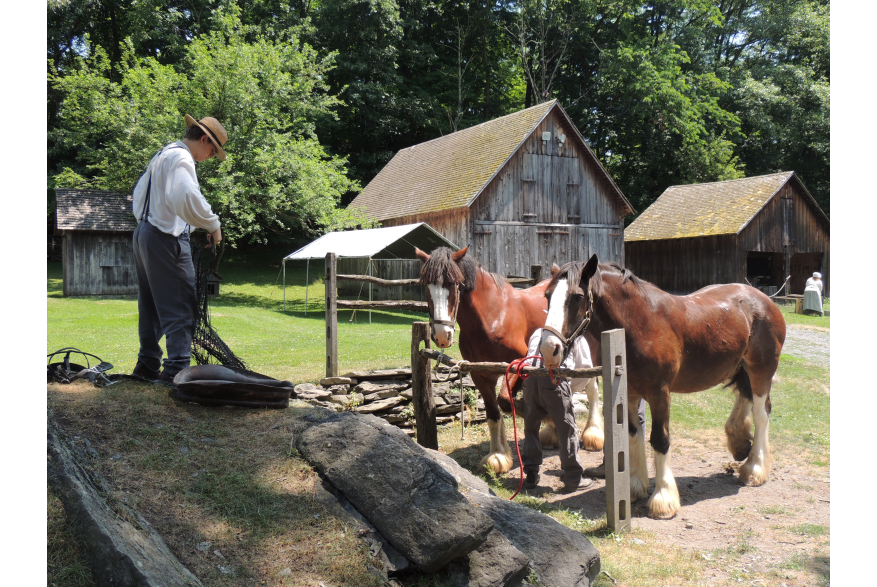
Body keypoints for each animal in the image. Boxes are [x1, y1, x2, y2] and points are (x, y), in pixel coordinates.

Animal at [414, 246, 552, 476]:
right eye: (427, 286)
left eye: (454, 285)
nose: (442, 335)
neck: (494, 316)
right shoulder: (480, 374)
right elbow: (494, 412)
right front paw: (498, 456)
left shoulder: (520, 363)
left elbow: (506, 401)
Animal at [540, 258, 788, 520]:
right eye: (547, 295)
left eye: (577, 297)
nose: (549, 349)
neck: (640, 324)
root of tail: (764, 300)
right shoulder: (630, 392)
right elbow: (633, 433)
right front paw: (634, 486)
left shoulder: (659, 393)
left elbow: (659, 439)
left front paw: (663, 498)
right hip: (741, 367)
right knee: (744, 396)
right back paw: (740, 443)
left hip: (761, 370)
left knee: (761, 413)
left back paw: (754, 468)